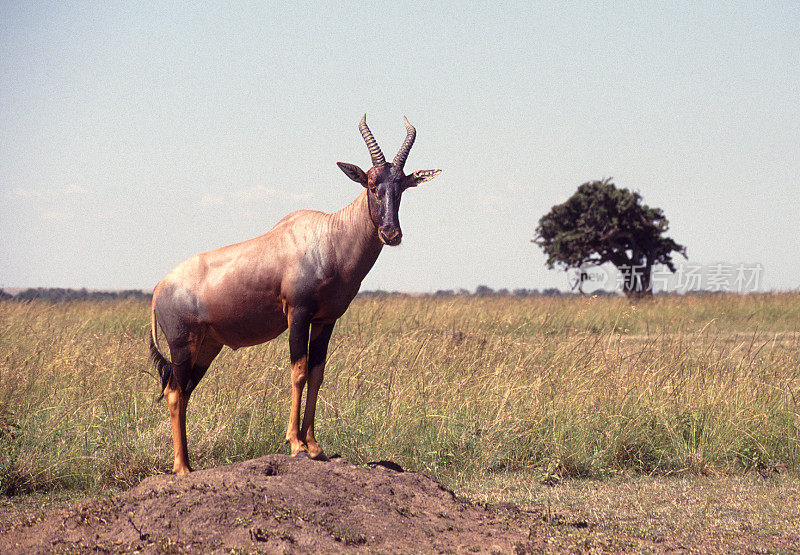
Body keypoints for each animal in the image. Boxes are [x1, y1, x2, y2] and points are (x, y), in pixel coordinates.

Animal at [147, 115, 440, 476]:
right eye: (371, 184)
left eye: (402, 186)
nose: (391, 233)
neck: (329, 236)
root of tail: (159, 288)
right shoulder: (297, 315)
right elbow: (298, 372)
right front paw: (297, 446)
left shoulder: (326, 320)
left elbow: (316, 373)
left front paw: (314, 446)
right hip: (182, 344)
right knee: (175, 393)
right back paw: (181, 469)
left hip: (207, 346)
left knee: (184, 391)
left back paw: (187, 463)